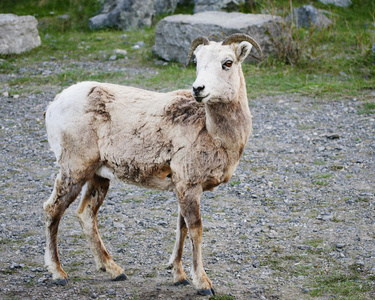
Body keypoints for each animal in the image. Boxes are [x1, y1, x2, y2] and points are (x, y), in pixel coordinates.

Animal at [43, 33, 262, 296]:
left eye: (227, 62)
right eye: (196, 62)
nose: (198, 89)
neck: (212, 132)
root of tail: (54, 105)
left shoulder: (184, 187)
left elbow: (182, 228)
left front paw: (178, 276)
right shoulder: (189, 185)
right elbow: (195, 230)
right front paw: (202, 284)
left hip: (98, 175)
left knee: (86, 214)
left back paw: (115, 270)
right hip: (74, 169)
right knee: (53, 209)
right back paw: (58, 274)